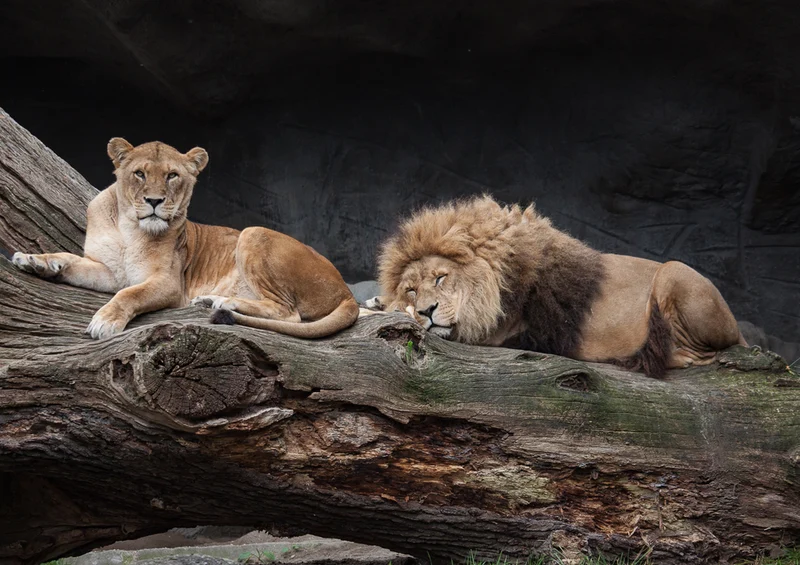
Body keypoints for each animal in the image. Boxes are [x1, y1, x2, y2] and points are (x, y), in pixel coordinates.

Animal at [12, 138, 359, 340]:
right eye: (139, 173)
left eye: (172, 176)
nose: (154, 201)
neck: (129, 228)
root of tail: (347, 291)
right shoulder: (110, 272)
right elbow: (70, 259)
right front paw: (34, 261)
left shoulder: (168, 283)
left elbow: (129, 294)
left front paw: (105, 321)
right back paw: (209, 299)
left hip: (253, 232)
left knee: (289, 312)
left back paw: (222, 301)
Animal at [368, 196, 746, 377]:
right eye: (412, 289)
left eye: (441, 277)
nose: (427, 310)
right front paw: (377, 304)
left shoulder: (504, 333)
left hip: (673, 271)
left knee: (700, 353)